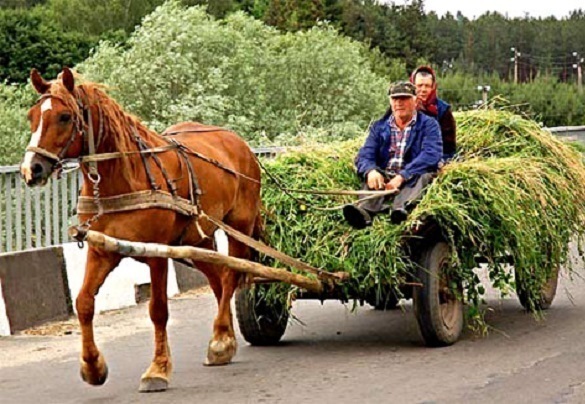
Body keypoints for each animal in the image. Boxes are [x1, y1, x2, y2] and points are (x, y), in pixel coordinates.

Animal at [20, 68, 262, 392]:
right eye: (32, 116)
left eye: (64, 117)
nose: (30, 169)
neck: (124, 177)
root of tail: (238, 143)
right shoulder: (101, 251)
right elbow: (84, 303)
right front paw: (93, 366)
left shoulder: (157, 254)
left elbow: (158, 310)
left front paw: (158, 368)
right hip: (197, 241)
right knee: (220, 279)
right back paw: (223, 337)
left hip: (239, 227)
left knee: (232, 274)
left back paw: (220, 341)